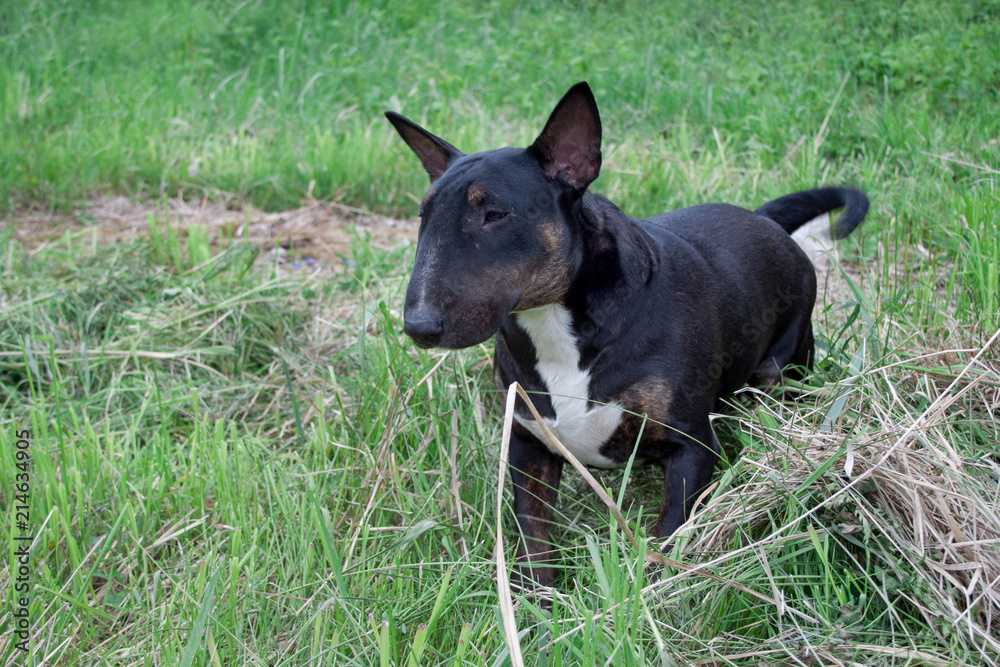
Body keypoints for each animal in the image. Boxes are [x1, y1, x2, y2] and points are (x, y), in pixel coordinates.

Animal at [384, 81, 868, 588]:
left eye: (495, 214)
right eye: (423, 216)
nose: (418, 326)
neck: (558, 325)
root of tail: (765, 220)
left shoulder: (690, 448)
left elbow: (670, 536)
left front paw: (658, 593)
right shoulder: (528, 444)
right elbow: (534, 537)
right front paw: (538, 602)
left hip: (785, 365)